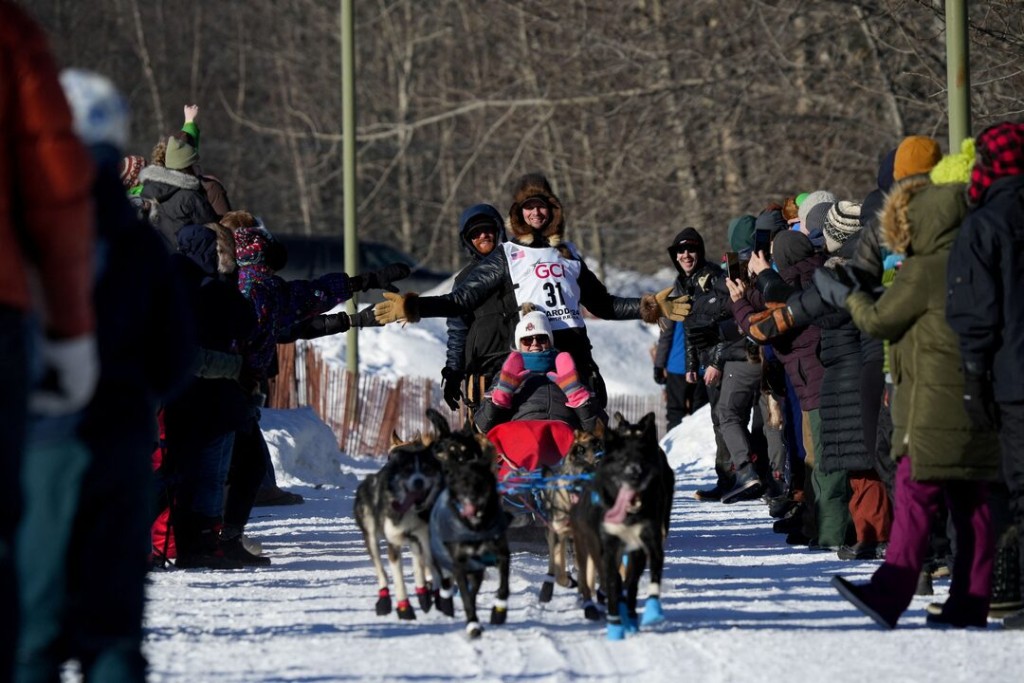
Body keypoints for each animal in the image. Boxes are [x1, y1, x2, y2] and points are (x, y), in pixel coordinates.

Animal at [573, 411, 675, 643]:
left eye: (643, 452)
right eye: (620, 457)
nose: (634, 472)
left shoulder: (646, 545)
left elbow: (634, 581)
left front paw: (641, 613)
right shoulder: (608, 549)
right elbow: (614, 582)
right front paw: (617, 622)